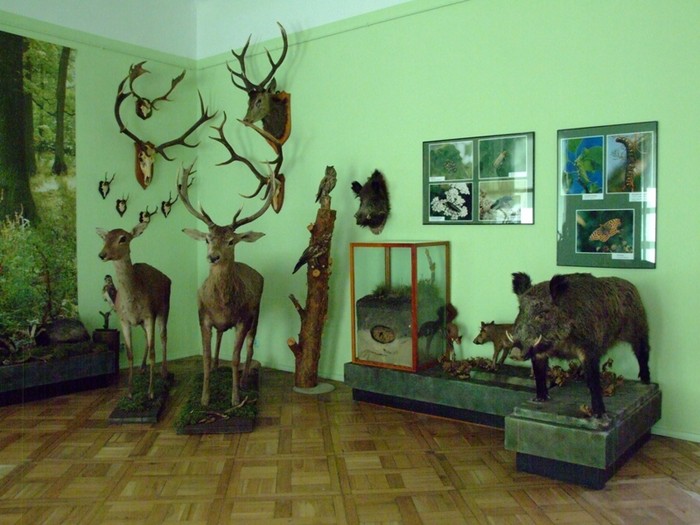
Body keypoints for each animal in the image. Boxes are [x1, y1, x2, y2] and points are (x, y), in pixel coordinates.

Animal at [96, 221, 171, 399]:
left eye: (123, 238)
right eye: (105, 237)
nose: (102, 254)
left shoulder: (149, 315)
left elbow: (153, 352)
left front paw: (151, 392)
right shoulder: (124, 320)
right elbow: (130, 354)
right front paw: (129, 391)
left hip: (164, 309)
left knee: (163, 336)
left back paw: (164, 372)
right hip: (143, 322)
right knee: (146, 338)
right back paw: (142, 368)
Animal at [178, 162, 277, 407]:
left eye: (232, 241)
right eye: (207, 239)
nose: (213, 256)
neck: (222, 304)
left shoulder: (243, 318)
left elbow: (234, 358)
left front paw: (235, 397)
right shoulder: (202, 316)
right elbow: (204, 357)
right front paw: (204, 398)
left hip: (257, 312)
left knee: (250, 347)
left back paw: (244, 380)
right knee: (220, 339)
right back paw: (215, 368)